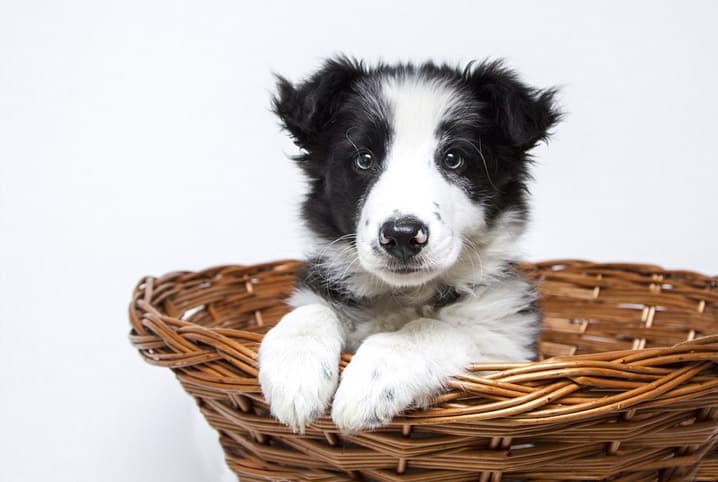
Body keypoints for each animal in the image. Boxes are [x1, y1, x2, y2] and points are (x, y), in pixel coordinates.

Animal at [258, 55, 564, 434]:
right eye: (364, 159)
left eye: (453, 158)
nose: (402, 235)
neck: (405, 295)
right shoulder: (320, 286)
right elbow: (311, 310)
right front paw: (294, 375)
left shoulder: (506, 343)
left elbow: (432, 327)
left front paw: (372, 382)